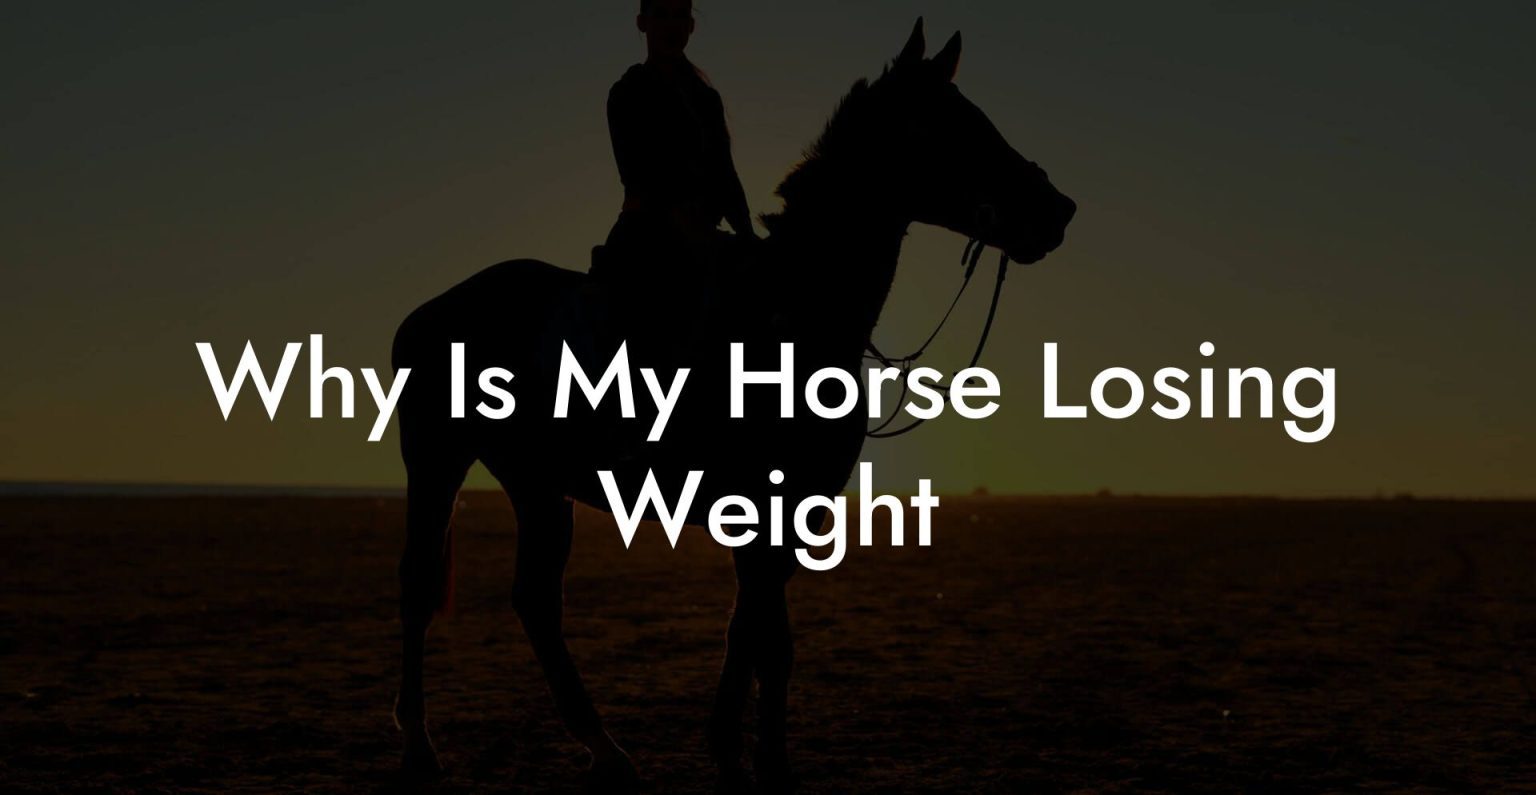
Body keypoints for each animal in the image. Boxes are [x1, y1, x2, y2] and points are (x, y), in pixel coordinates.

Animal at [390, 18, 1076, 791]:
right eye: (954, 126)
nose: (1058, 210)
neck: (791, 310)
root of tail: (431, 311)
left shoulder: (789, 511)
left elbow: (756, 629)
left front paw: (741, 751)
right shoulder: (760, 507)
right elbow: (764, 633)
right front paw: (756, 758)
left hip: (537, 483)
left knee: (536, 600)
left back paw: (607, 750)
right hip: (437, 458)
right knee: (419, 585)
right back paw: (421, 748)